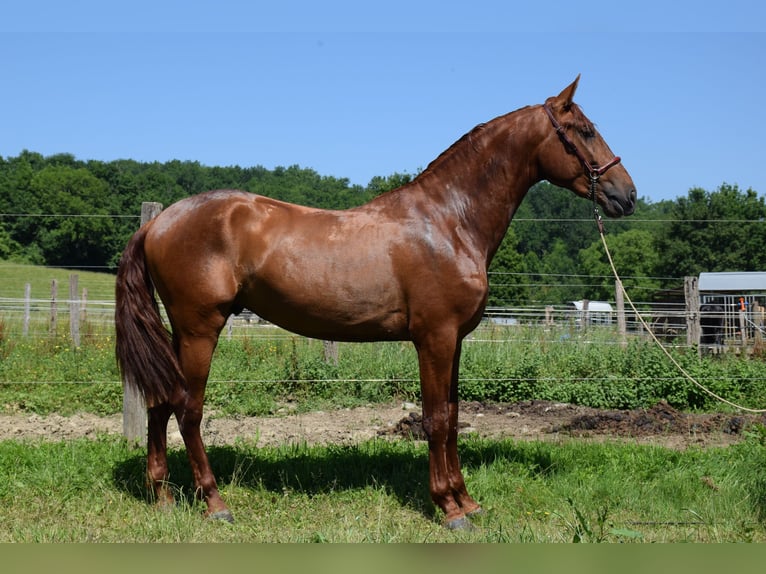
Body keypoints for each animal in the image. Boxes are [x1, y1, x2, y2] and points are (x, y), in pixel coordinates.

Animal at [117, 76, 640, 532]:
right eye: (585, 130)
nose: (628, 195)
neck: (448, 221)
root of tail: (160, 222)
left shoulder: (454, 342)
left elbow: (453, 417)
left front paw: (468, 500)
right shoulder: (434, 338)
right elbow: (435, 420)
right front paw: (449, 509)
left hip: (180, 335)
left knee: (161, 402)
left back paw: (162, 496)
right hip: (199, 330)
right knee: (188, 409)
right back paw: (215, 503)